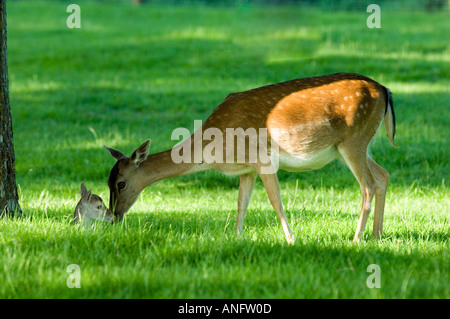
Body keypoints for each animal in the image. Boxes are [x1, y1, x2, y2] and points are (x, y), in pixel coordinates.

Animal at [103, 72, 396, 244]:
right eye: (108, 182)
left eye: (121, 183)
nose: (114, 216)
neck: (212, 150)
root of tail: (384, 89)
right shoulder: (247, 169)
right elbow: (241, 203)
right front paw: (236, 237)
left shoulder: (262, 159)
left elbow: (276, 202)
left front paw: (291, 240)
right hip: (354, 145)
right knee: (383, 175)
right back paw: (377, 234)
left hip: (354, 139)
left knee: (368, 185)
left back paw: (357, 238)